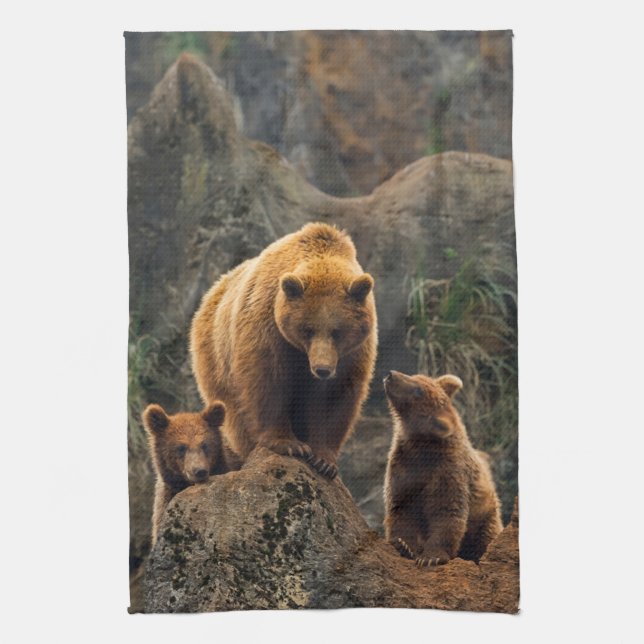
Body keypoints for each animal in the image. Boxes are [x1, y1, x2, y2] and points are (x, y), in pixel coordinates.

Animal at [190, 222, 377, 479]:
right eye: (307, 329)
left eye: (337, 331)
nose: (322, 369)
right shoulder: (268, 327)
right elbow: (268, 380)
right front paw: (289, 444)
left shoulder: (352, 353)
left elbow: (336, 395)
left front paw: (324, 459)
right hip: (216, 359)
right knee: (235, 414)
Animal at [383, 370, 503, 567]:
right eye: (416, 376)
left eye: (418, 390)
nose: (391, 375)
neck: (423, 448)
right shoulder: (404, 466)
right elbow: (401, 506)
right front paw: (403, 545)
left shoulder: (447, 471)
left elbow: (446, 511)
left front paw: (431, 557)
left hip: (485, 515)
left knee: (485, 538)